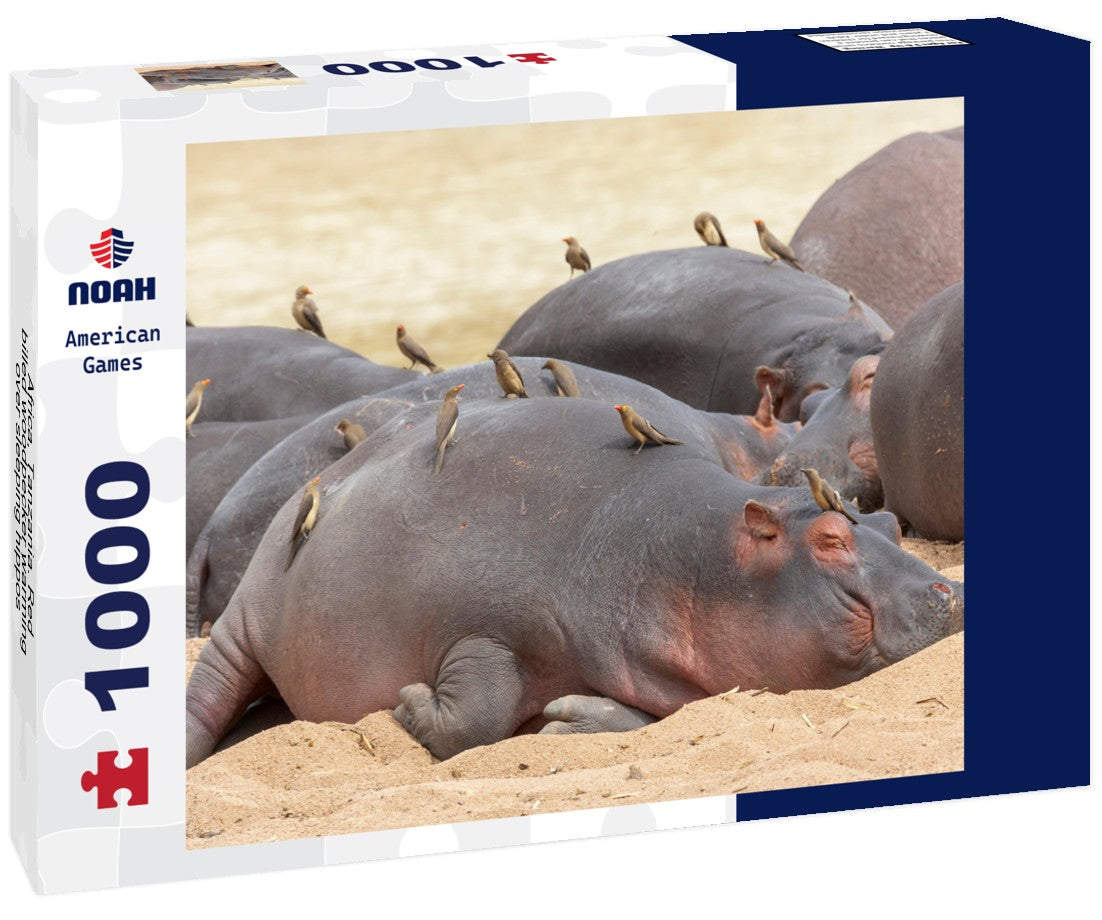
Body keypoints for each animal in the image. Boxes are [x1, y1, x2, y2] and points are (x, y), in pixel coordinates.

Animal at [185, 398, 963, 765]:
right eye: (830, 540)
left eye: (890, 524)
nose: (948, 590)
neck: (682, 553)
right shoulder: (482, 623)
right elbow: (480, 708)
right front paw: (406, 704)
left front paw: (563, 721)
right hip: (246, 621)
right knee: (208, 692)